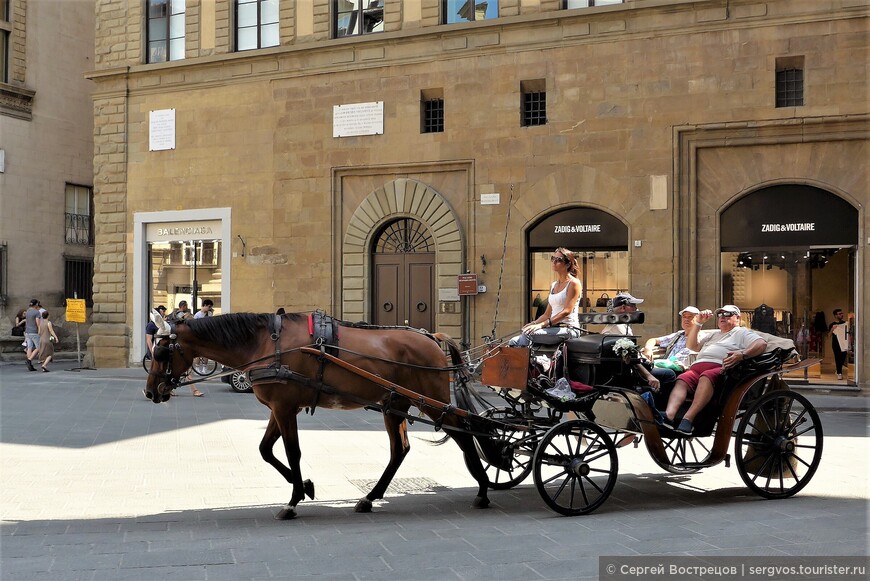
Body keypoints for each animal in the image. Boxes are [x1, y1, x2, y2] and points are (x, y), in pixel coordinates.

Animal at [146, 310, 494, 520]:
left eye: (162, 352)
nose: (151, 392)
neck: (267, 344)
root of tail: (432, 336)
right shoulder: (280, 408)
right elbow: (266, 450)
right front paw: (304, 486)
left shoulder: (285, 408)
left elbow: (292, 452)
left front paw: (293, 500)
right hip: (395, 403)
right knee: (400, 450)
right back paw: (371, 497)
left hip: (433, 402)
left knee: (463, 434)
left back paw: (483, 489)